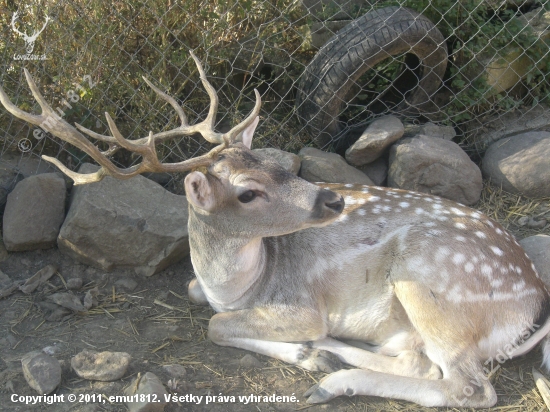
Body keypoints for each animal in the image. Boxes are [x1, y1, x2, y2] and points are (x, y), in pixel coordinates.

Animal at [1, 53, 550, 408]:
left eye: (276, 164)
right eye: (248, 190)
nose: (333, 198)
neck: (239, 286)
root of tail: (532, 306)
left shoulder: (301, 305)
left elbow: (219, 326)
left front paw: (302, 350)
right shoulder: (208, 289)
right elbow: (198, 297)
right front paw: (308, 352)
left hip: (430, 283)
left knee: (467, 387)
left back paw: (329, 378)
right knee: (421, 363)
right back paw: (332, 357)